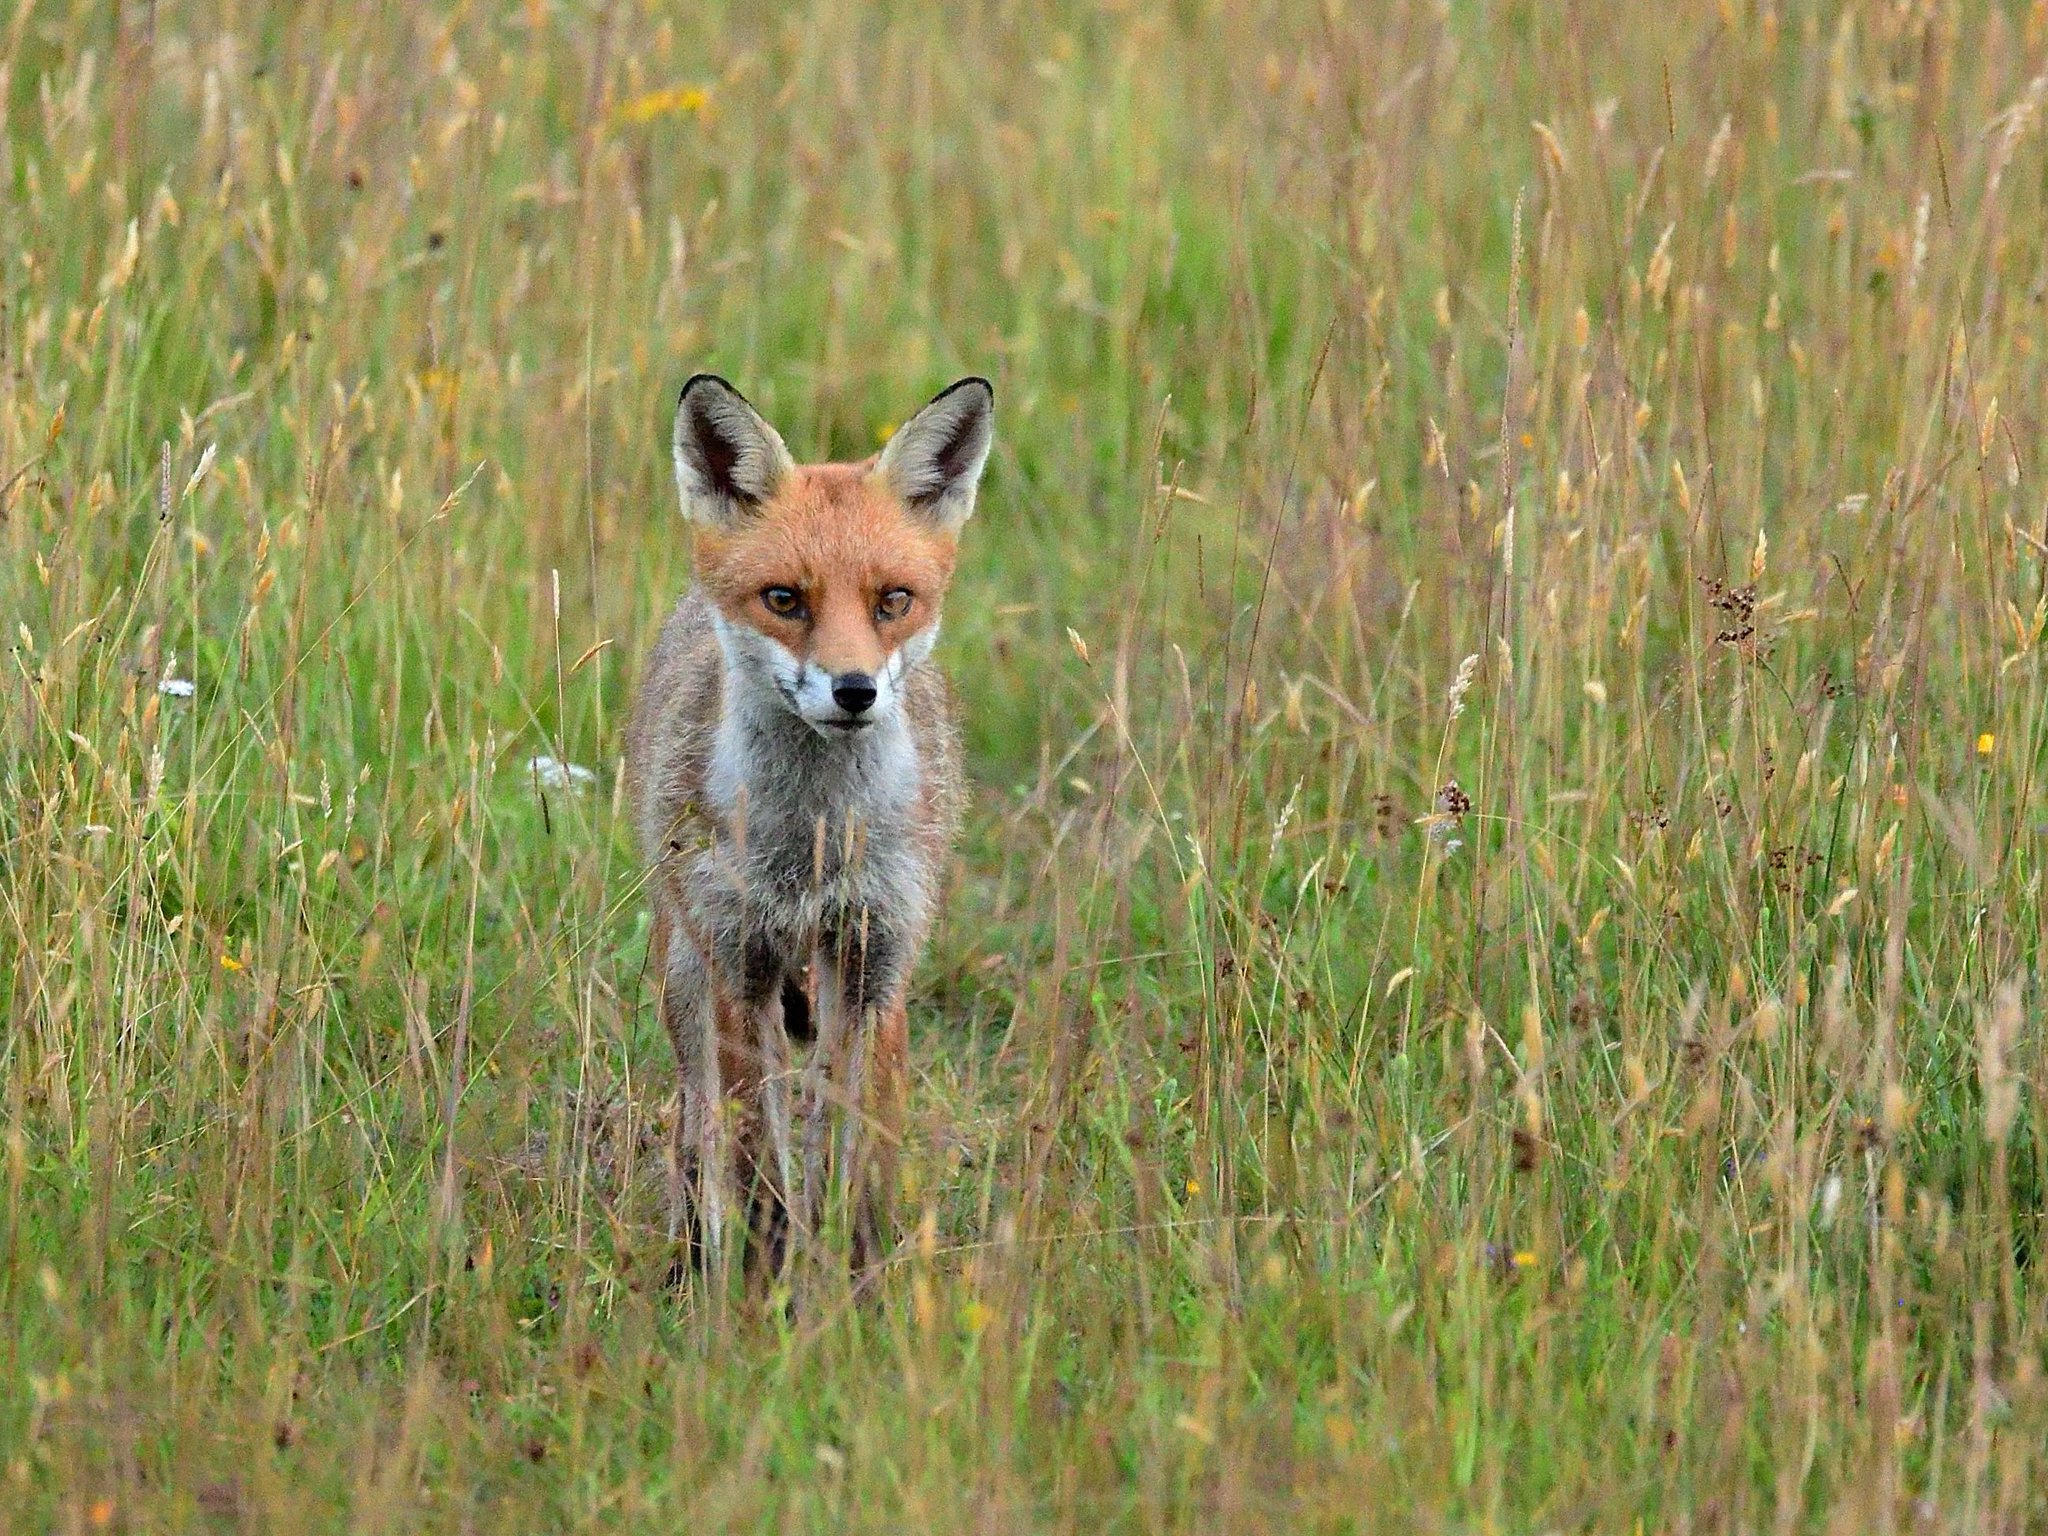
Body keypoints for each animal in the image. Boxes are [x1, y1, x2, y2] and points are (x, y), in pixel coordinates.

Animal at [625, 372, 994, 1285]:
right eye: (785, 600)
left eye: (894, 599)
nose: (854, 690)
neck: (813, 849)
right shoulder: (740, 964)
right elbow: (757, 1157)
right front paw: (766, 1286)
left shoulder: (876, 960)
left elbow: (860, 1152)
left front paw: (857, 1281)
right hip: (685, 971)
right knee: (695, 1121)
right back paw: (692, 1258)